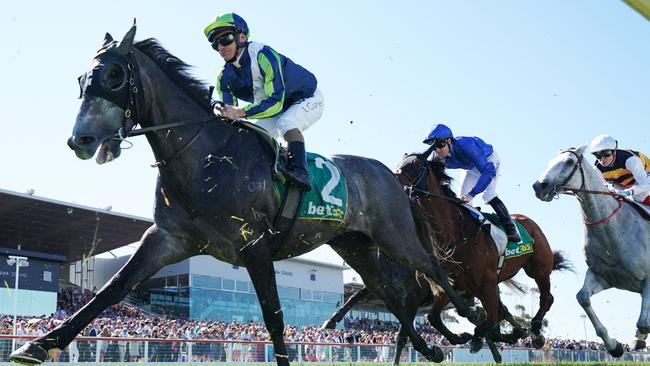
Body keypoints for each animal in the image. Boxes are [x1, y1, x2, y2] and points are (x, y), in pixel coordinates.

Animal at [8, 23, 476, 366]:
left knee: (431, 267)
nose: (80, 140)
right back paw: (432, 346)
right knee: (392, 294)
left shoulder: (255, 247)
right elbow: (112, 289)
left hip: (394, 236)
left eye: (114, 75)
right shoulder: (167, 239)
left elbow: (274, 319)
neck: (202, 155)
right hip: (356, 246)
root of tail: (391, 175)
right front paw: (38, 344)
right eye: (81, 78)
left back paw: (474, 319)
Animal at [532, 145, 648, 358]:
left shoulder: (647, 279)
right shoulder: (604, 276)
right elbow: (583, 297)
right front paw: (614, 345)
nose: (539, 186)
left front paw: (638, 339)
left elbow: (643, 323)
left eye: (569, 161)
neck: (612, 231)